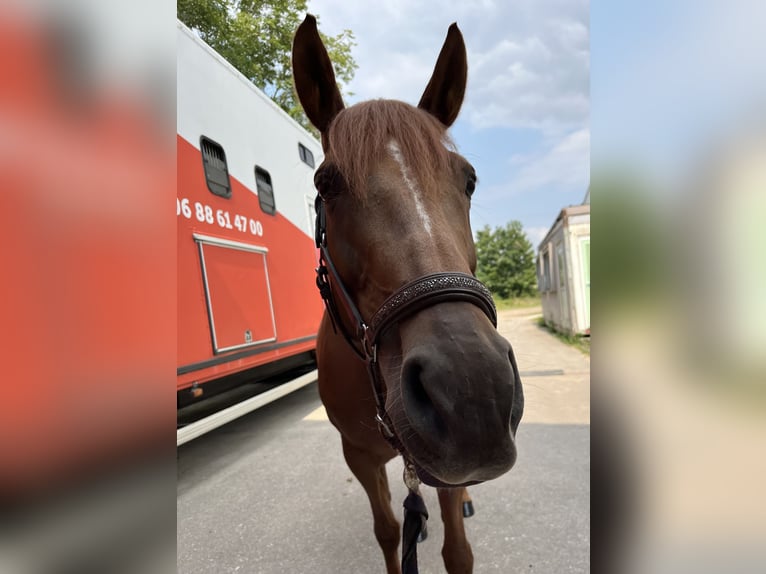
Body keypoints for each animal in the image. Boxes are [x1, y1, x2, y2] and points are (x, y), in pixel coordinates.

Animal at [292, 14, 524, 574]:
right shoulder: (359, 456)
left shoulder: (443, 468)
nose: (473, 393)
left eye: (469, 181)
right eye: (326, 183)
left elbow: (456, 550)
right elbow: (389, 531)